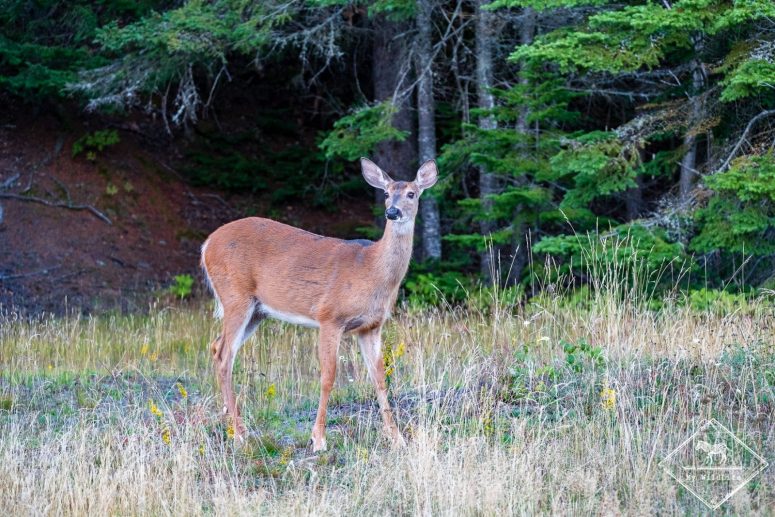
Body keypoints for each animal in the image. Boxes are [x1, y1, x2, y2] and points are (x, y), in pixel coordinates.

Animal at [200, 158, 438, 451]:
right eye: (385, 193)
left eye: (411, 194)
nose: (392, 212)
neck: (372, 270)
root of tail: (207, 244)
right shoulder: (330, 317)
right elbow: (328, 376)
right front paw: (319, 439)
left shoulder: (371, 327)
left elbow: (380, 378)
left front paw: (397, 437)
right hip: (235, 295)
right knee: (225, 355)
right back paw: (240, 433)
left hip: (256, 311)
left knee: (216, 346)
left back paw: (229, 422)